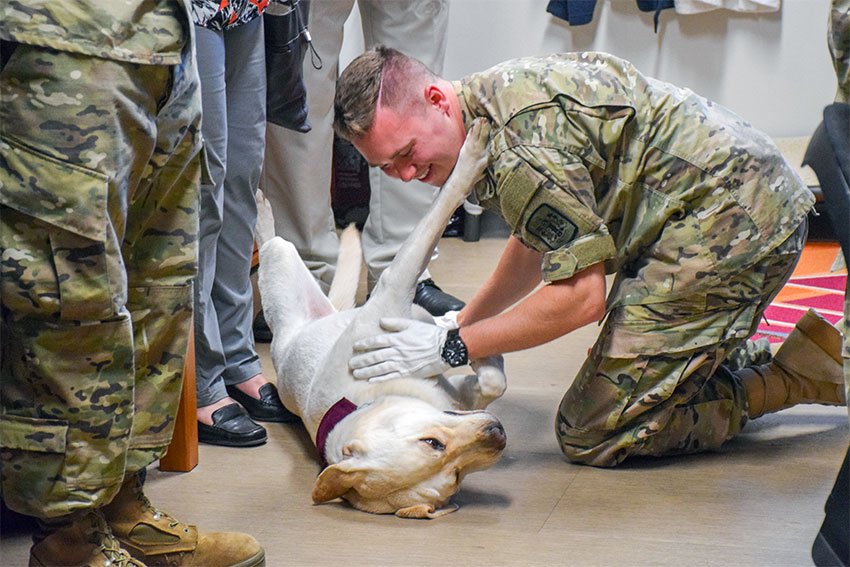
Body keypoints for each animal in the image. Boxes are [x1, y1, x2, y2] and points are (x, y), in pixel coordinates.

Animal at [255, 120, 506, 520]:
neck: (368, 399)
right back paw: (262, 215)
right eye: (454, 474)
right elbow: (438, 211)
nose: (498, 434)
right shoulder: (395, 283)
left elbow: (491, 383)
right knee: (269, 243)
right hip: (283, 267)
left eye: (431, 442)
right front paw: (470, 158)